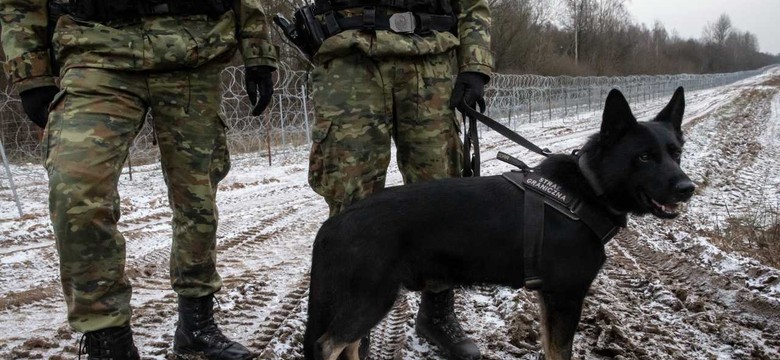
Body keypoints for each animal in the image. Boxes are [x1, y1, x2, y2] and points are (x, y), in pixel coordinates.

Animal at [304, 88, 696, 360]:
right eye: (644, 157)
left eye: (676, 153)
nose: (687, 188)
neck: (589, 186)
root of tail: (333, 224)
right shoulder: (565, 298)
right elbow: (561, 352)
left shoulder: (549, 300)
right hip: (372, 296)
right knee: (327, 346)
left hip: (371, 299)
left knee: (348, 345)